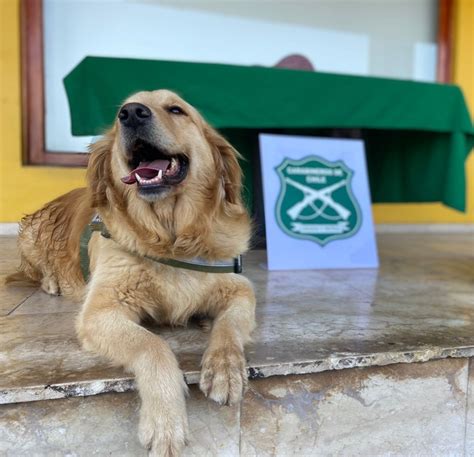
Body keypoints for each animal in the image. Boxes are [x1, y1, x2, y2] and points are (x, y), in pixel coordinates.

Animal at [11, 90, 256, 456]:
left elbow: (229, 327)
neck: (170, 236)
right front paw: (166, 422)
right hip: (30, 236)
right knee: (37, 270)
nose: (132, 114)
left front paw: (226, 369)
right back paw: (52, 282)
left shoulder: (240, 287)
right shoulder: (100, 311)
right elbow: (152, 346)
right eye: (119, 116)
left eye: (176, 110)